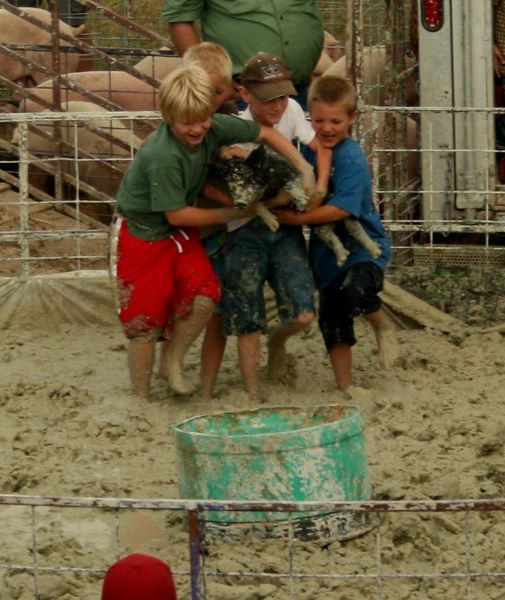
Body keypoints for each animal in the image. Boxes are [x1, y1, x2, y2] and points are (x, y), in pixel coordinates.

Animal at [207, 144, 380, 266]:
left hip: (339, 211)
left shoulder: (289, 172)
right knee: (335, 237)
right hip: (320, 228)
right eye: (229, 186)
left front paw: (302, 202)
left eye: (248, 178)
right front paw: (274, 225)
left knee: (356, 227)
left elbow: (291, 185)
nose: (239, 203)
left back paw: (376, 252)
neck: (268, 187)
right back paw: (343, 259)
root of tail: (334, 222)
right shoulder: (260, 201)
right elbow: (257, 205)